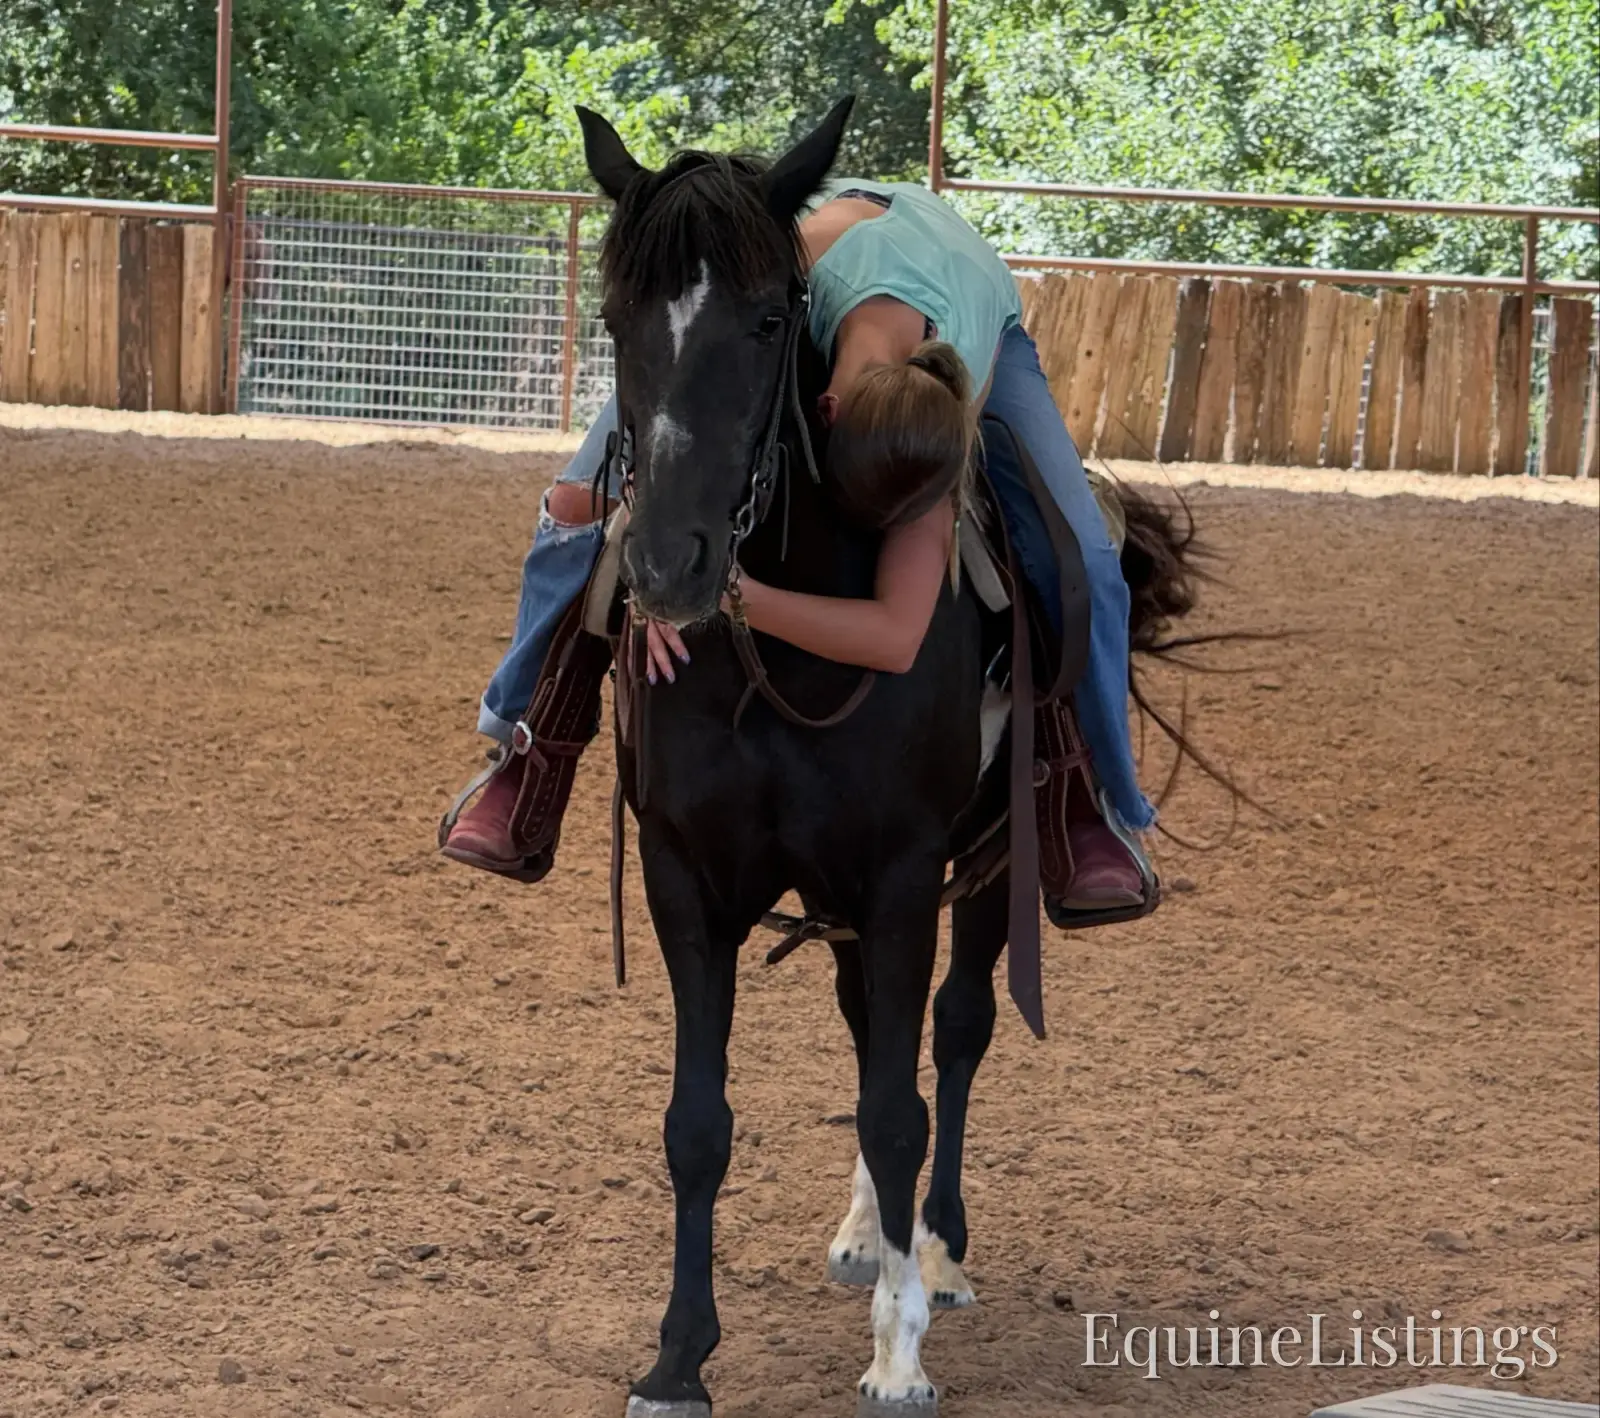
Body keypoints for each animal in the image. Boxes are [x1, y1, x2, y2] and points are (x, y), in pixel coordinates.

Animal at [575, 97, 1200, 1417]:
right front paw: (676, 1356)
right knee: (870, 1024)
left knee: (951, 1032)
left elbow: (902, 1103)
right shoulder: (684, 875)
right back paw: (876, 1233)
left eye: (769, 319)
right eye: (614, 319)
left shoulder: (907, 872)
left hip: (989, 863)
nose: (666, 563)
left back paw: (936, 1249)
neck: (778, 652)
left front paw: (898, 1345)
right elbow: (699, 1120)